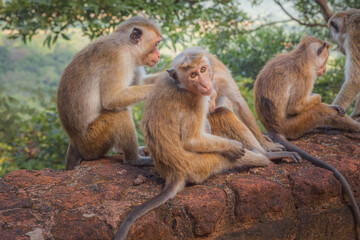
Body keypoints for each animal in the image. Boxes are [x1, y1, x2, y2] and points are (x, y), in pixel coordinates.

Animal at [57, 16, 162, 171]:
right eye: (156, 44)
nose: (159, 55)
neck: (126, 46)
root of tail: (74, 143)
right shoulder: (118, 60)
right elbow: (111, 99)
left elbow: (140, 82)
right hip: (93, 141)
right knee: (118, 114)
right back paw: (134, 160)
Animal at [253, 35, 360, 229]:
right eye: (325, 60)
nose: (324, 69)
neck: (302, 57)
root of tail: (273, 129)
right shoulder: (306, 75)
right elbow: (295, 106)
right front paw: (322, 100)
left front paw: (334, 105)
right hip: (294, 125)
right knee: (317, 112)